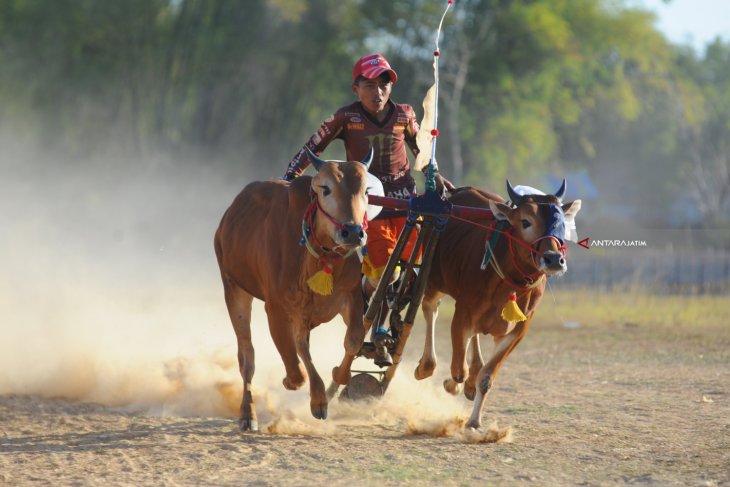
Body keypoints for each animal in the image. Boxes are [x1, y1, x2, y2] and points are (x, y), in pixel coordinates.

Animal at [416, 181, 580, 428]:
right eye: (525, 221)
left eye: (561, 222)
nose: (553, 259)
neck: (508, 281)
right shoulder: (461, 315)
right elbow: (458, 370)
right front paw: (453, 385)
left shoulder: (517, 330)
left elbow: (486, 377)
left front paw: (474, 420)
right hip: (434, 281)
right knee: (430, 310)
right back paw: (427, 366)